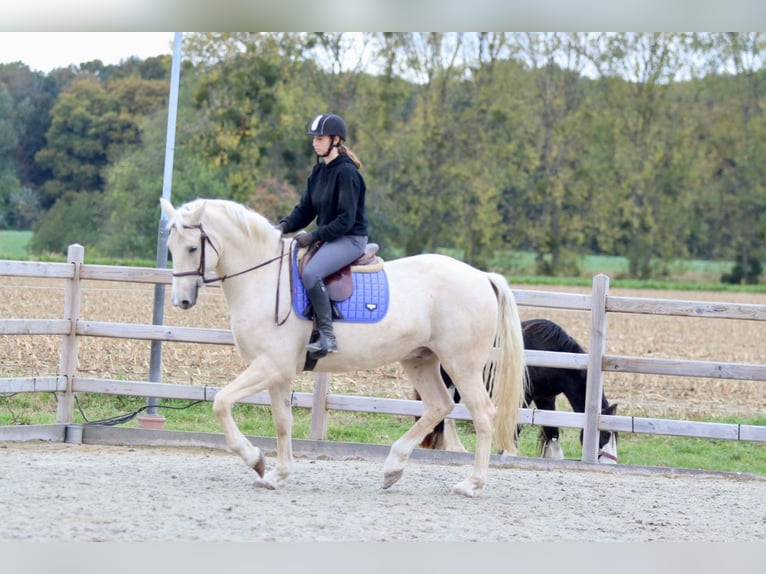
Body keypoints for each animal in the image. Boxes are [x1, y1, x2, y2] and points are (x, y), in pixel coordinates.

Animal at [159, 198, 527, 497]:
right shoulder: (277, 373)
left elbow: (221, 402)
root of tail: (482, 276)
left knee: (482, 414)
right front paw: (277, 474)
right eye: (170, 247)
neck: (262, 280)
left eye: (192, 248)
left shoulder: (270, 366)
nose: (181, 301)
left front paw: (255, 459)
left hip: (462, 365)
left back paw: (471, 484)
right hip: (420, 360)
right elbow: (282, 422)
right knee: (439, 406)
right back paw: (393, 468)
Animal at [419, 318, 618, 463]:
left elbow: (552, 432)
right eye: (604, 434)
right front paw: (508, 453)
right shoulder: (523, 396)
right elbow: (515, 427)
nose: (611, 463)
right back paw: (455, 448)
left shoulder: (546, 398)